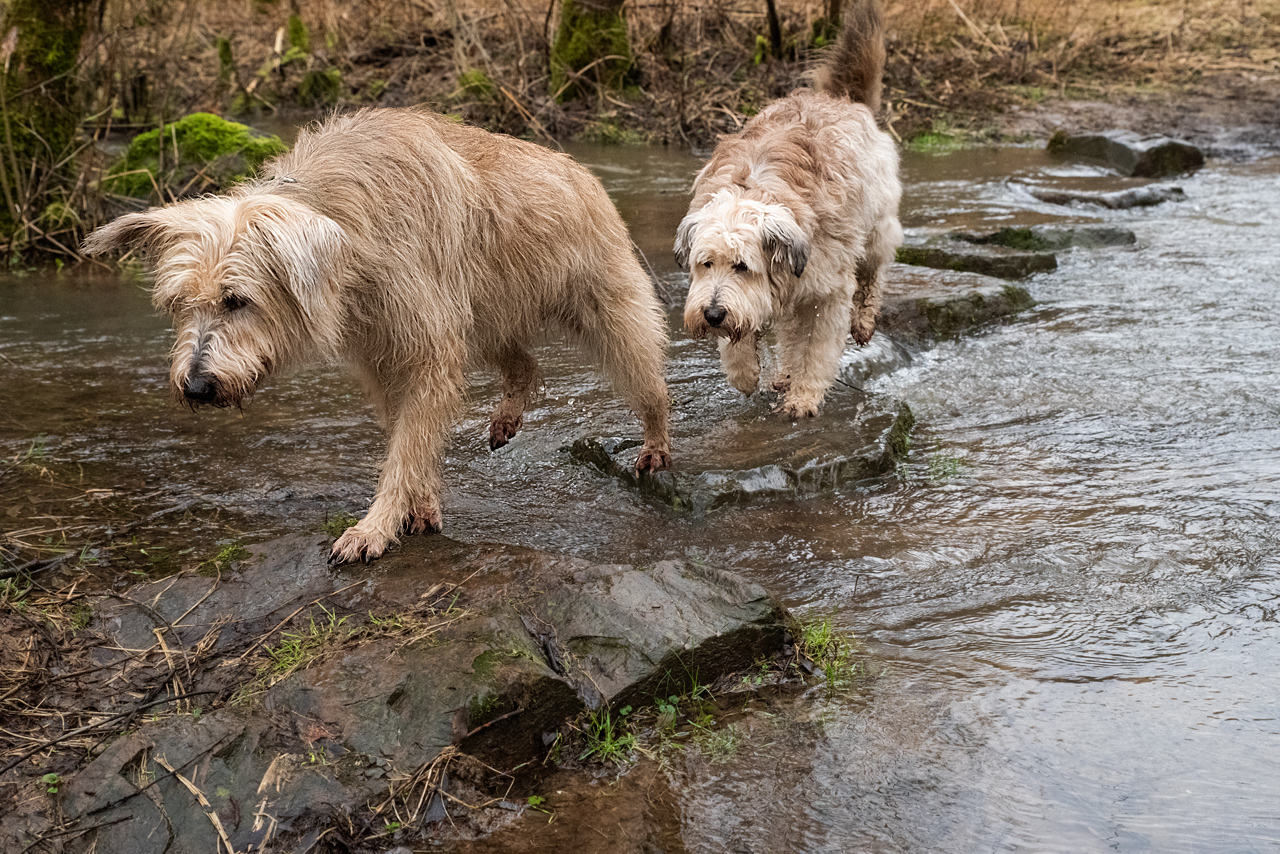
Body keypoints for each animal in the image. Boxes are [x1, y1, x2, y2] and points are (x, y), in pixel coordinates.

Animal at [83, 108, 675, 560]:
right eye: (179, 304)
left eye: (236, 300)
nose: (197, 387)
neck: (351, 240)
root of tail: (585, 174)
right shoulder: (383, 357)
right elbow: (409, 440)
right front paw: (421, 506)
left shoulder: (428, 351)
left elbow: (407, 448)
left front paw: (373, 528)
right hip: (485, 315)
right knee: (524, 363)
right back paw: (508, 414)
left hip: (607, 310)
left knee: (647, 380)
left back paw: (655, 443)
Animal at [675, 0, 906, 417]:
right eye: (705, 264)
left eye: (742, 266)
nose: (713, 315)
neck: (753, 190)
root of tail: (842, 99)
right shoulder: (765, 291)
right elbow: (748, 338)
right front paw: (745, 373)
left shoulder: (828, 292)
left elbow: (817, 350)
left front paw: (804, 397)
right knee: (790, 332)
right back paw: (782, 374)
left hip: (877, 229)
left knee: (873, 274)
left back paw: (863, 321)